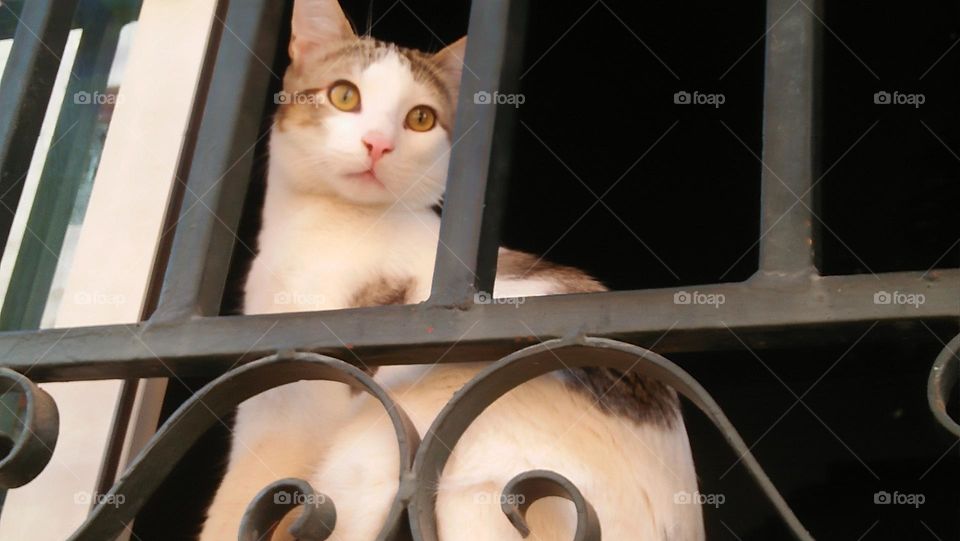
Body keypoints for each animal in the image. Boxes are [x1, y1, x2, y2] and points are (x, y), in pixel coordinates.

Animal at [199, 2, 700, 536]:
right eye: (344, 95)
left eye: (419, 118)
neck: (320, 223)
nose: (378, 144)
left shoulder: (294, 414)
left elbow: (235, 499)